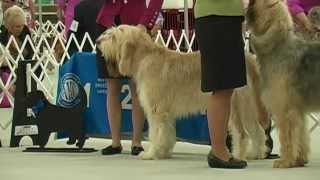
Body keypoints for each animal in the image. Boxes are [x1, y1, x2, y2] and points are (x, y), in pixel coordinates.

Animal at [97, 25, 268, 160]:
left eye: (113, 36)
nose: (98, 41)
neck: (145, 57)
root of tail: (248, 58)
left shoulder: (156, 110)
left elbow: (155, 133)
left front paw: (151, 154)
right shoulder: (166, 113)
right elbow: (167, 133)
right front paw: (163, 152)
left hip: (235, 106)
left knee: (241, 134)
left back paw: (238, 156)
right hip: (247, 107)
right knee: (257, 131)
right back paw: (256, 154)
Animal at [248, 0, 320, 167]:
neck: (278, 46)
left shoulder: (285, 109)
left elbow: (287, 137)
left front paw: (286, 160)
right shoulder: (298, 110)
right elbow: (301, 135)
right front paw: (299, 159)